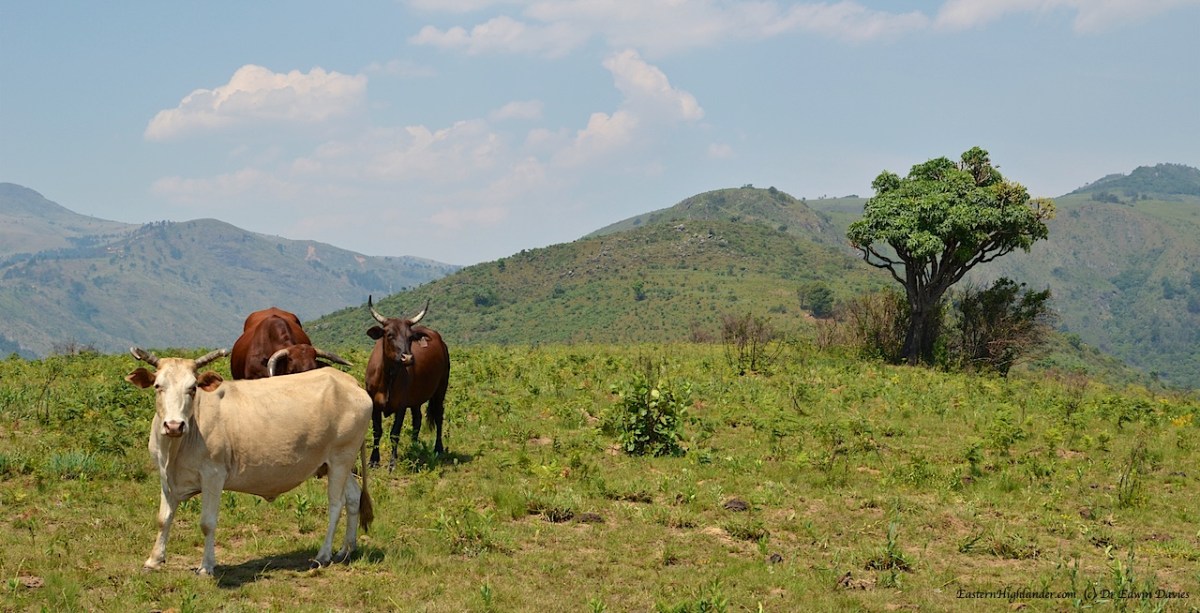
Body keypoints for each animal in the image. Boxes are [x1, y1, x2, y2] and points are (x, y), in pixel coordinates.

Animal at [125, 347, 373, 576]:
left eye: (192, 388)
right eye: (158, 386)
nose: (174, 425)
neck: (175, 449)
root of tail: (349, 381)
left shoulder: (213, 475)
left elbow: (207, 522)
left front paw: (206, 566)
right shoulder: (166, 477)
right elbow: (163, 518)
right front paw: (153, 560)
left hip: (341, 457)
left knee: (336, 504)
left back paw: (323, 555)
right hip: (336, 463)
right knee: (353, 497)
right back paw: (346, 550)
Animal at [364, 295, 451, 469]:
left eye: (410, 337)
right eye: (389, 334)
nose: (408, 358)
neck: (387, 377)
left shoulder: (401, 406)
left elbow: (394, 433)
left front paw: (392, 463)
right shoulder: (374, 404)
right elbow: (377, 431)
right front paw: (373, 460)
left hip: (441, 389)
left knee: (438, 415)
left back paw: (438, 449)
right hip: (416, 398)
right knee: (417, 419)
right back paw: (414, 446)